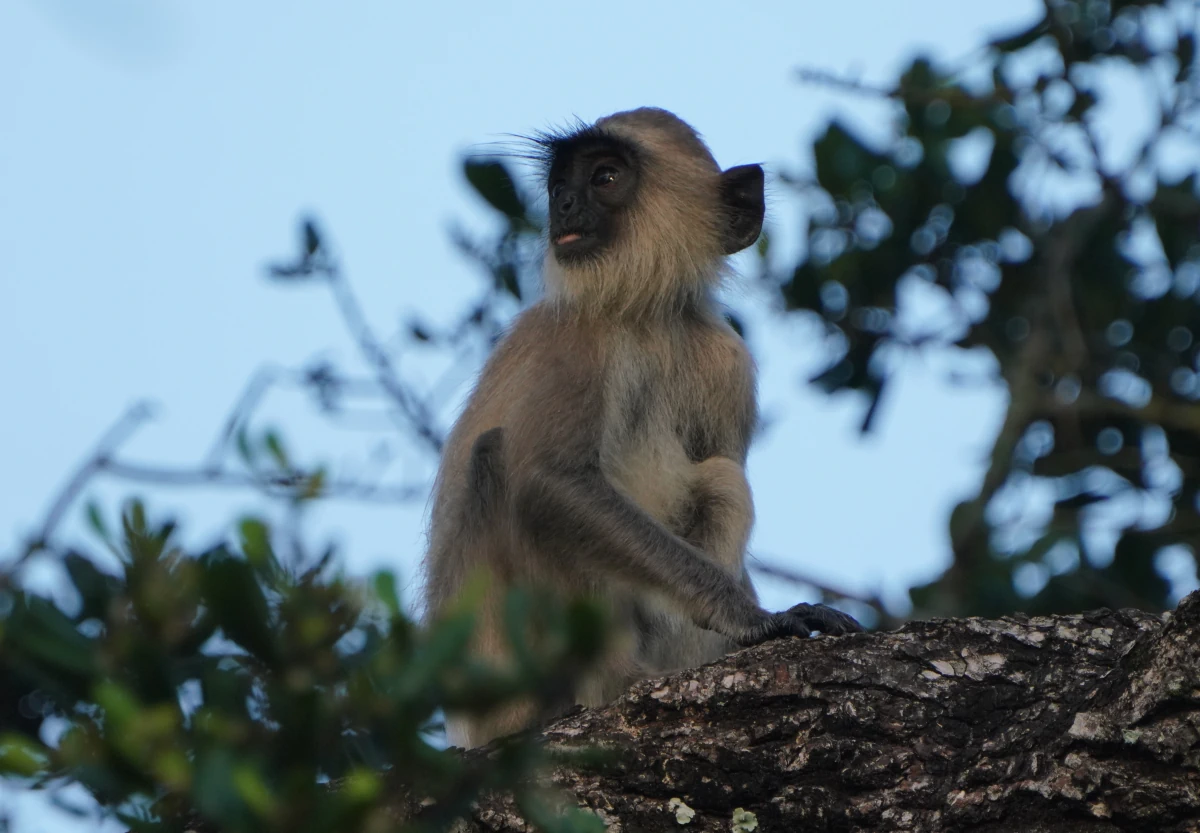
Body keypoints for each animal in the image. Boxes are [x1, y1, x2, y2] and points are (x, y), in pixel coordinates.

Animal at [427, 104, 859, 748]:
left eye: (604, 177)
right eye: (559, 186)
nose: (564, 206)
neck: (646, 316)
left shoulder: (728, 363)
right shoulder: (576, 338)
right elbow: (548, 482)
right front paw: (753, 619)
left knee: (722, 480)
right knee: (500, 462)